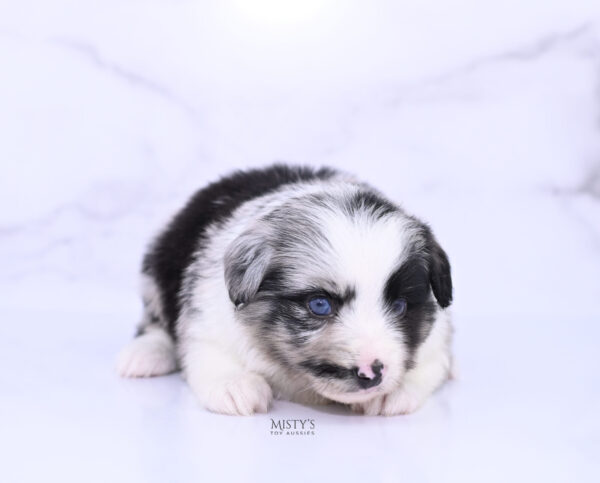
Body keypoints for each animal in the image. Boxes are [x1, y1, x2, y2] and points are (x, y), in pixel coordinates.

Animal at [117, 165, 452, 416]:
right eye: (319, 305)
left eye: (400, 307)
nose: (372, 373)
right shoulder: (206, 322)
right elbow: (210, 354)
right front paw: (235, 384)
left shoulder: (437, 340)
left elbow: (432, 362)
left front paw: (396, 391)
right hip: (157, 266)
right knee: (154, 322)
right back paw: (145, 354)